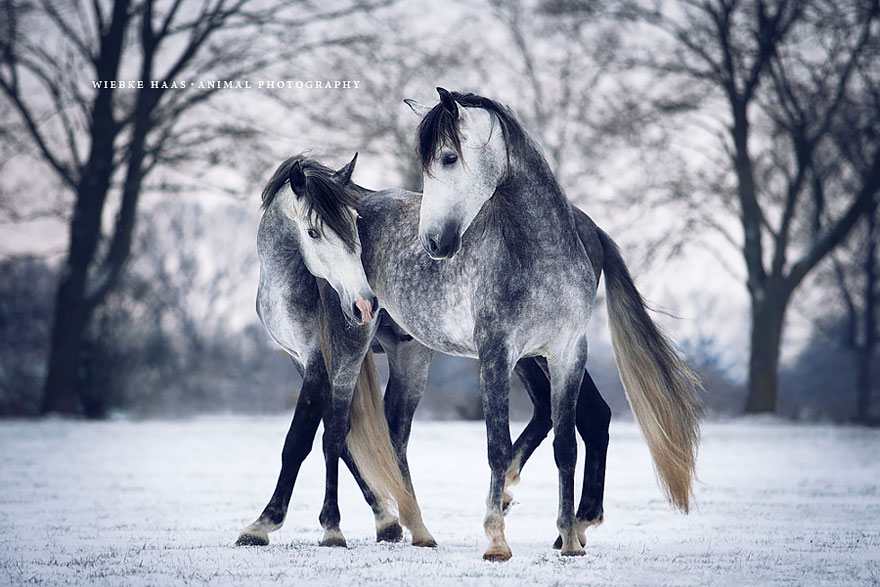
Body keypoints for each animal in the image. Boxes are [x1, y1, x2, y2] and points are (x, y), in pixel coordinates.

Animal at [239, 153, 614, 551]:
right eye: (312, 232)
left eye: (356, 228)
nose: (364, 304)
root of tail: (585, 225)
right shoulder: (307, 358)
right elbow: (353, 438)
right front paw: (387, 520)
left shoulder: (325, 359)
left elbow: (309, 437)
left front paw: (268, 524)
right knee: (576, 413)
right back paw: (565, 522)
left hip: (535, 351)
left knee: (574, 413)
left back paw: (562, 521)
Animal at [281, 89, 702, 560]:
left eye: (448, 158)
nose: (434, 242)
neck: (542, 252)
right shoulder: (498, 353)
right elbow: (497, 447)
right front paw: (497, 540)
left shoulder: (567, 352)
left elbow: (565, 446)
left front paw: (568, 541)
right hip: (360, 344)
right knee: (342, 430)